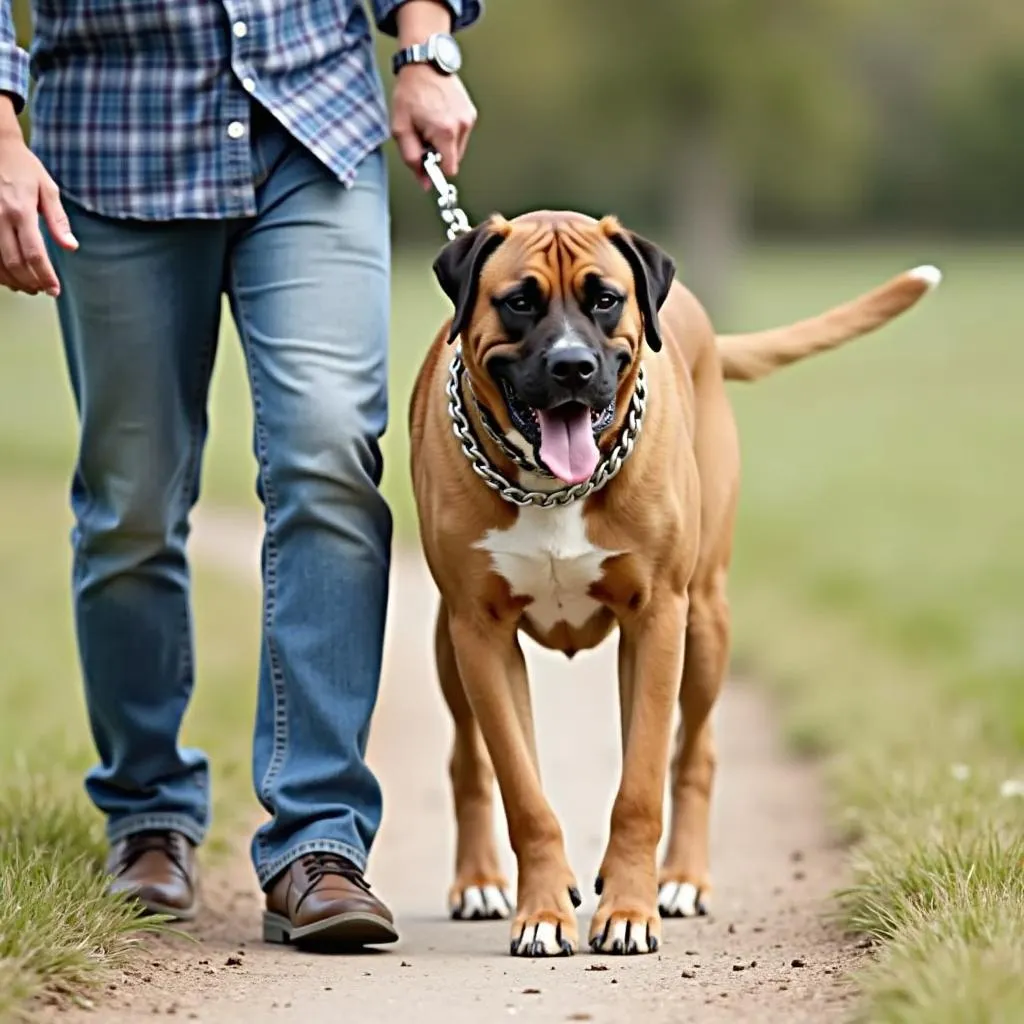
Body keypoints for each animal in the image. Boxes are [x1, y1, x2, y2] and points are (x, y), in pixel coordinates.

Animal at [405, 209, 937, 958]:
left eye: (604, 299)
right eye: (520, 302)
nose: (574, 366)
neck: (550, 488)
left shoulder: (659, 618)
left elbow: (642, 782)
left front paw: (629, 910)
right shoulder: (480, 631)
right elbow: (523, 789)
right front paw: (543, 911)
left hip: (705, 622)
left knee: (695, 754)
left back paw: (681, 880)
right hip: (449, 648)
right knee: (468, 760)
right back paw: (480, 882)